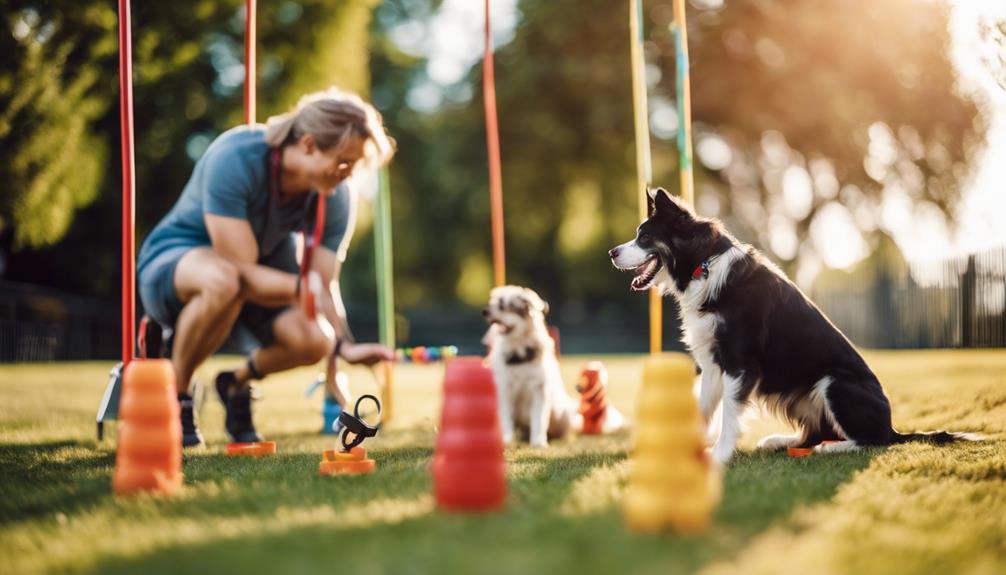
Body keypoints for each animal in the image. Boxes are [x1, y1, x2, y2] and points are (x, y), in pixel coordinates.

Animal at [603, 188, 973, 462]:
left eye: (644, 237)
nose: (611, 252)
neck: (702, 263)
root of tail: (893, 425)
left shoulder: (740, 364)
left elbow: (729, 415)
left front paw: (719, 456)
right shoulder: (711, 363)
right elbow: (704, 410)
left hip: (835, 384)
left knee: (872, 440)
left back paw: (831, 448)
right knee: (816, 431)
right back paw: (781, 441)